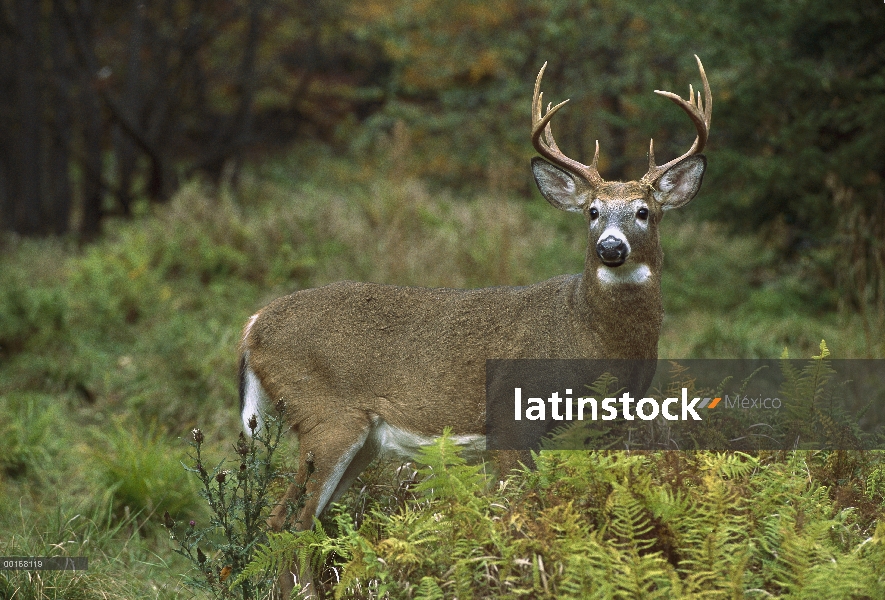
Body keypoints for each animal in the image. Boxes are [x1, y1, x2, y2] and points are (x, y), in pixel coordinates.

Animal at [238, 57, 708, 596]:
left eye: (644, 212)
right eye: (592, 212)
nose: (611, 247)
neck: (590, 338)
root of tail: (252, 326)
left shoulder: (607, 428)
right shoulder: (510, 414)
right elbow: (512, 512)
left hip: (358, 440)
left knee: (302, 519)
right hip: (325, 415)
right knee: (288, 520)